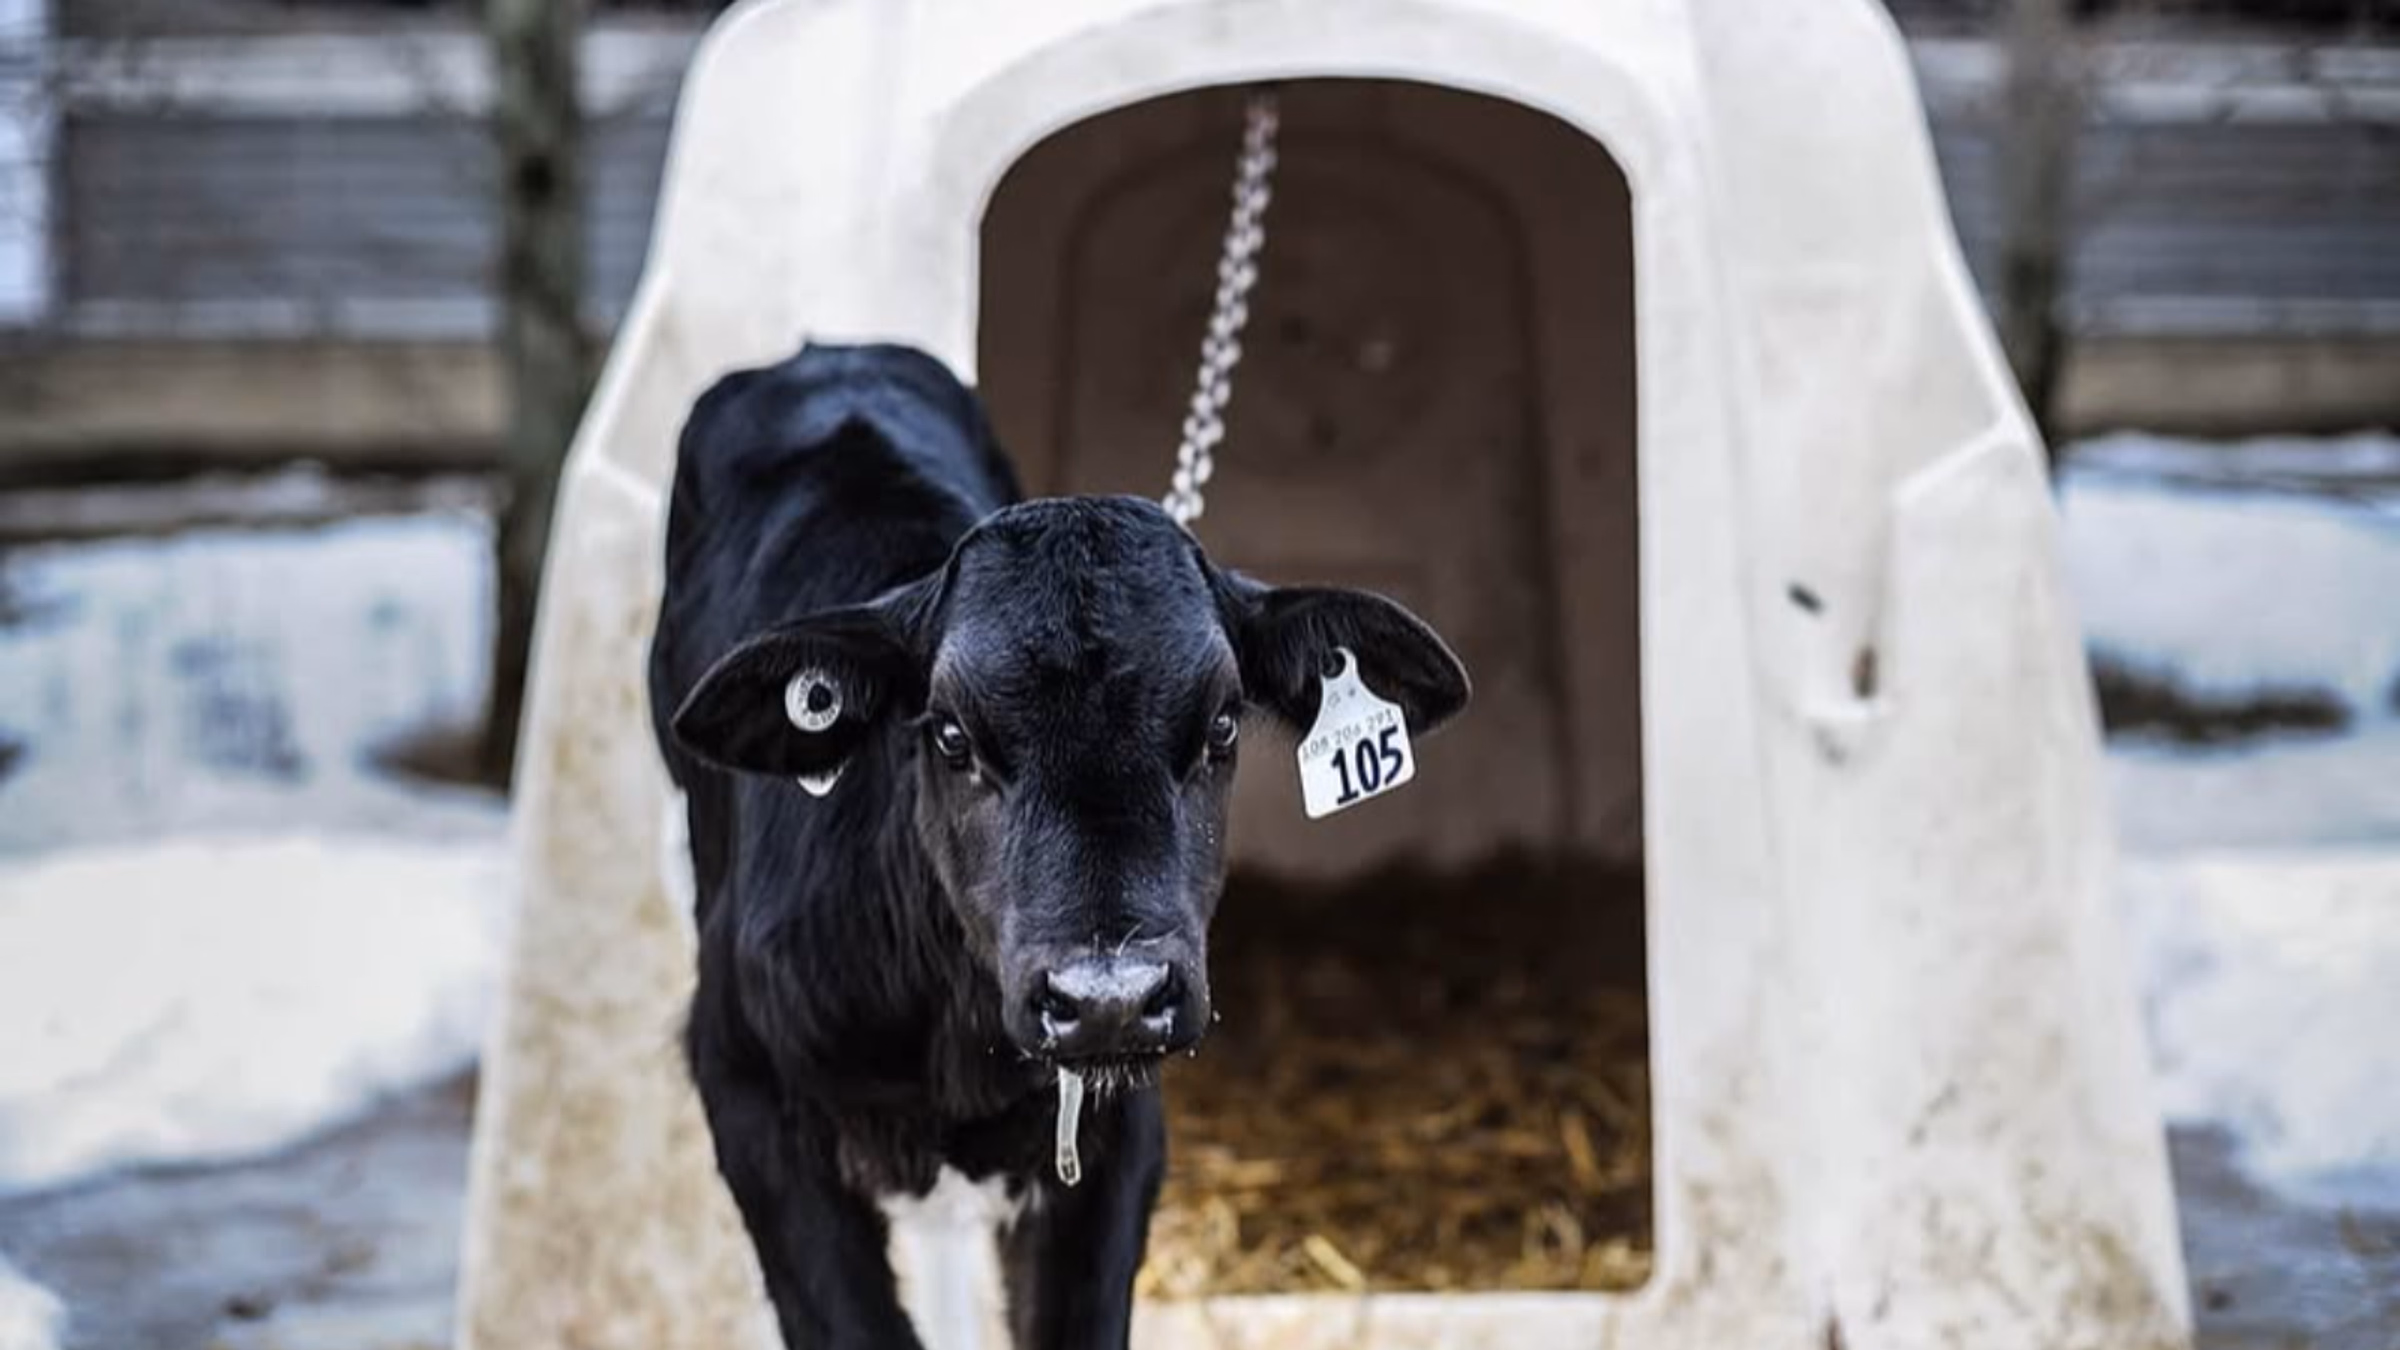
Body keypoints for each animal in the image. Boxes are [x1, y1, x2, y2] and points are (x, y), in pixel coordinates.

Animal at [648, 342, 1469, 1349]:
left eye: (1223, 724)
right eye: (950, 735)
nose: (1109, 999)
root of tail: (827, 355)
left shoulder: (1115, 1136)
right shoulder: (748, 1094)